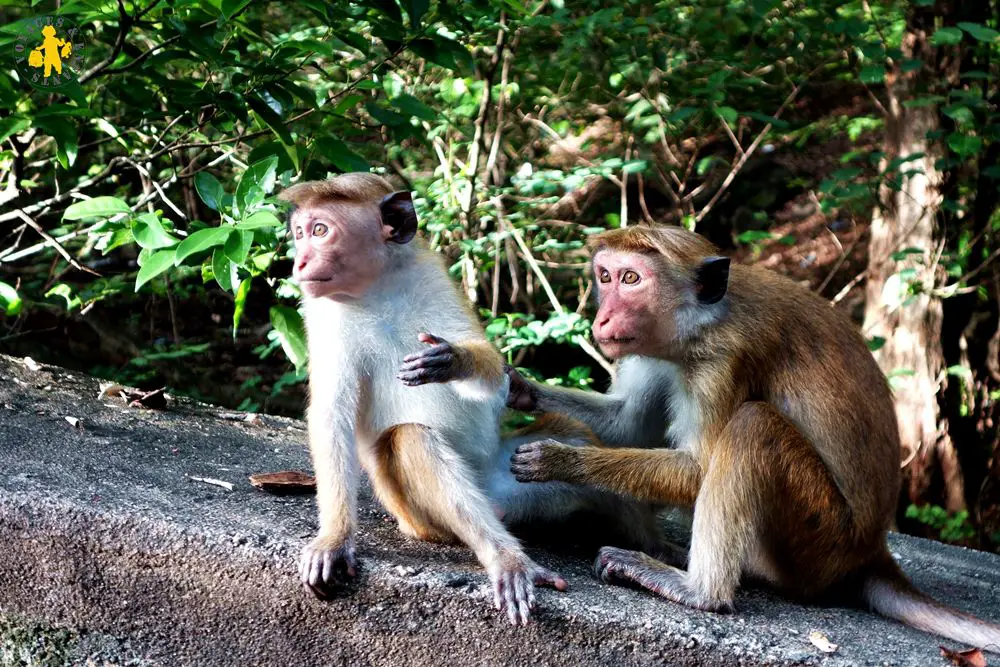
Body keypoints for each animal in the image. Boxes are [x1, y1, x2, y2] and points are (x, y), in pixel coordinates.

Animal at [282, 174, 660, 628]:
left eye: (320, 231)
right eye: (300, 233)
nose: (300, 263)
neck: (375, 288)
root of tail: (494, 499)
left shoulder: (432, 276)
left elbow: (490, 366)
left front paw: (453, 360)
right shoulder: (324, 318)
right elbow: (332, 415)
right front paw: (334, 538)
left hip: (514, 478)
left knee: (571, 436)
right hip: (421, 520)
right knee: (411, 440)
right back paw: (504, 556)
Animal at [504, 226, 1000, 652]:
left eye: (631, 278)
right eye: (605, 276)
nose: (603, 317)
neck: (702, 321)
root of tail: (870, 551)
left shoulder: (725, 361)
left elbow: (700, 468)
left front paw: (561, 460)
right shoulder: (654, 353)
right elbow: (625, 423)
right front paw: (518, 388)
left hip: (819, 540)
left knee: (753, 426)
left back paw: (699, 591)